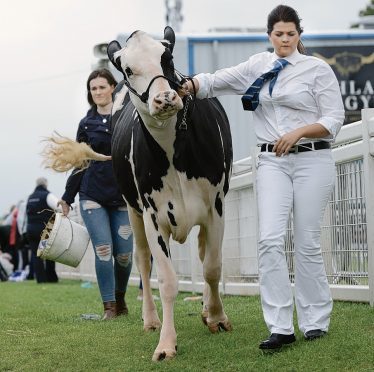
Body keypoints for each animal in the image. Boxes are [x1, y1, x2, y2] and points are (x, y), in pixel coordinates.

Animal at [106, 26, 232, 360]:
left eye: (168, 57)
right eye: (128, 69)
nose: (164, 98)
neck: (174, 153)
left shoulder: (216, 206)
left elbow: (212, 267)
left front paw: (217, 317)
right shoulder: (153, 216)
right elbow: (166, 280)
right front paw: (166, 343)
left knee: (203, 254)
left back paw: (208, 309)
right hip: (131, 209)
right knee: (142, 260)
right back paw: (150, 319)